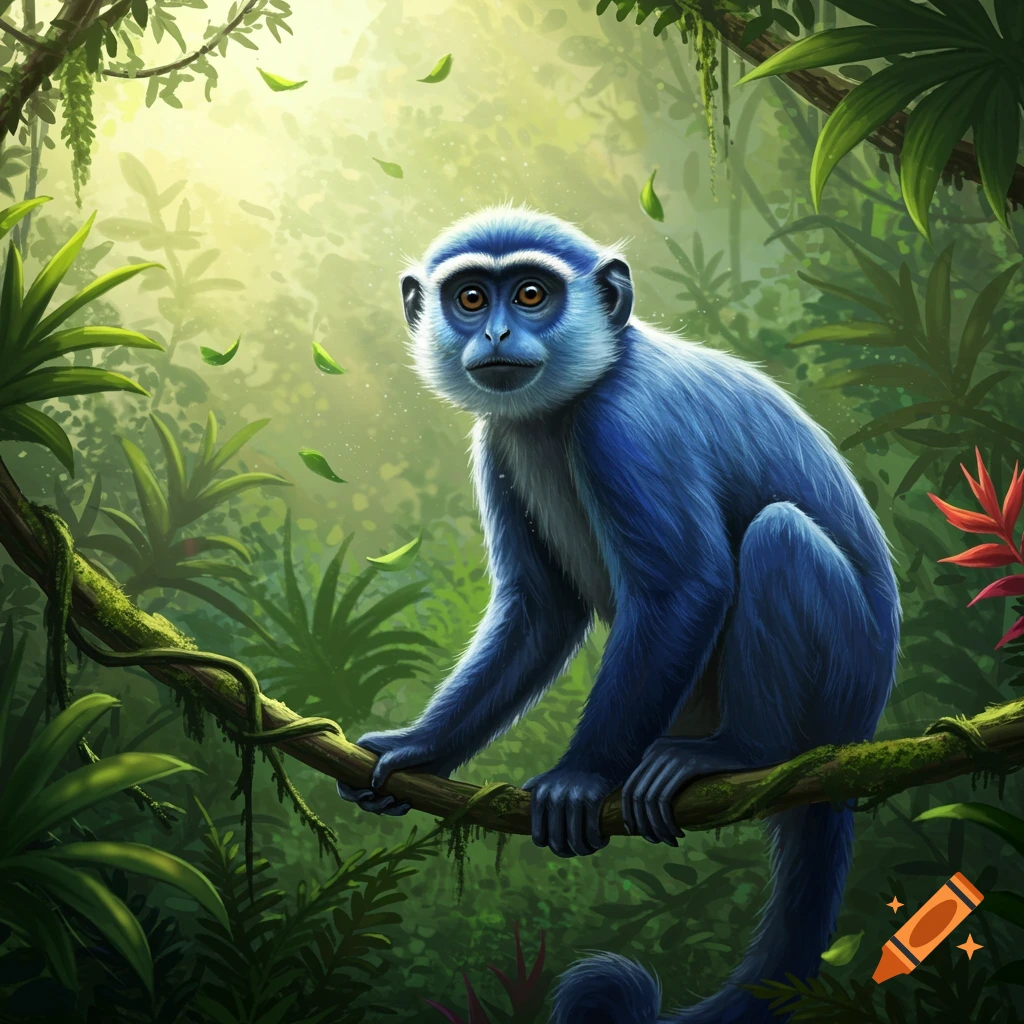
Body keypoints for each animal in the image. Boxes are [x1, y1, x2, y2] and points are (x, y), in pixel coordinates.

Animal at [337, 206, 900, 1024]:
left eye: (531, 294)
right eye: (471, 299)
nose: (497, 333)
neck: (570, 400)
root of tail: (858, 737)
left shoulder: (627, 422)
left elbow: (684, 585)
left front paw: (580, 778)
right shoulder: (498, 437)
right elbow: (540, 612)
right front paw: (420, 749)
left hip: (842, 677)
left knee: (778, 539)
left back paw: (740, 752)